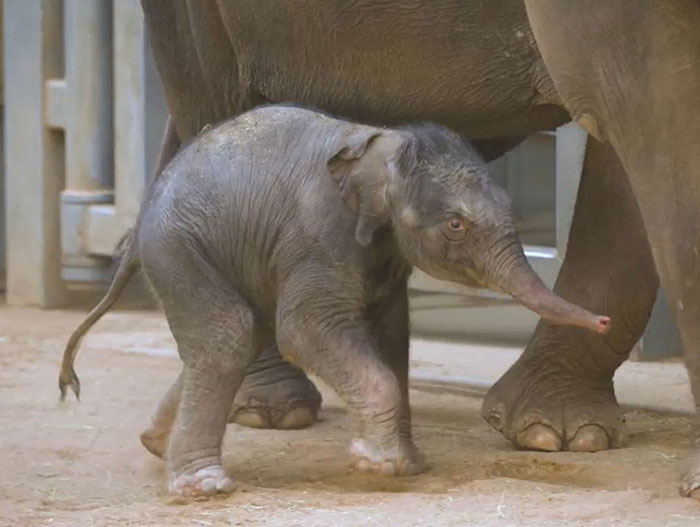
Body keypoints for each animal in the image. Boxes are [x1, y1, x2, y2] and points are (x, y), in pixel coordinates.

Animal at [58, 106, 608, 500]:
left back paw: (156, 444)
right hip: (179, 249)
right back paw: (203, 487)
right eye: (456, 224)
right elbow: (304, 329)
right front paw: (380, 465)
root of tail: (141, 217)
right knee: (230, 333)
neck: (382, 144)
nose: (603, 321)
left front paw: (406, 463)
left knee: (241, 335)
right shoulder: (320, 236)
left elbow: (392, 334)